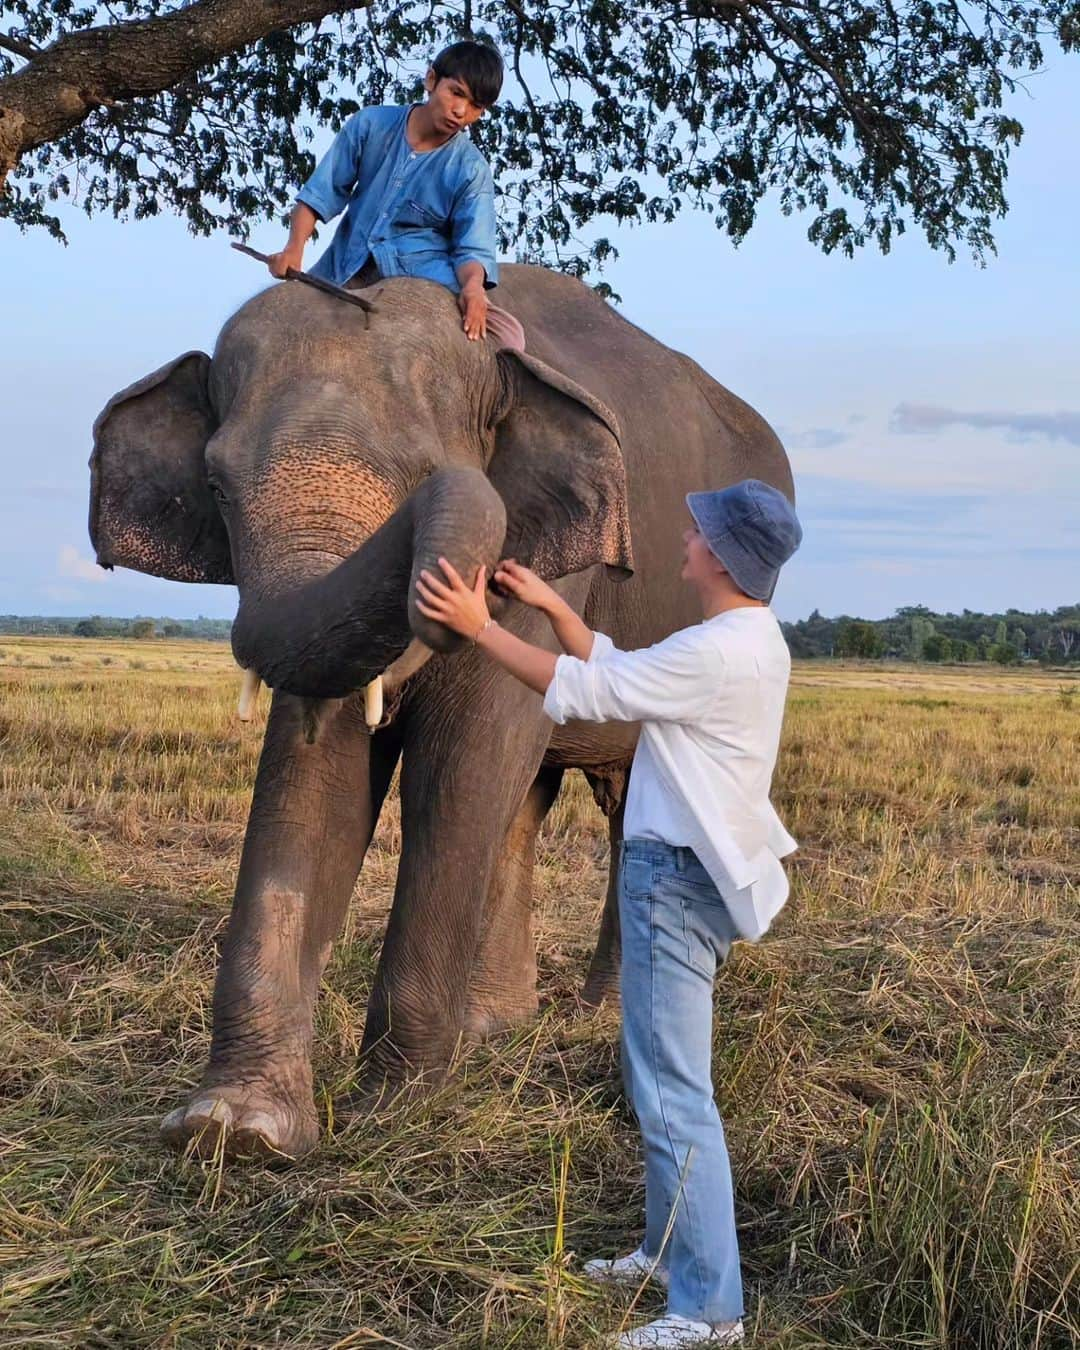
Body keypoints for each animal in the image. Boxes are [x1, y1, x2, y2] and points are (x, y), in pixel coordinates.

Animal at [86, 265, 793, 1161]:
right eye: (215, 487)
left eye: (426, 473)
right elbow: (319, 772)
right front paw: (235, 1130)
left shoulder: (554, 566)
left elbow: (460, 772)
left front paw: (391, 1112)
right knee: (528, 802)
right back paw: (494, 1026)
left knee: (624, 807)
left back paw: (593, 1018)